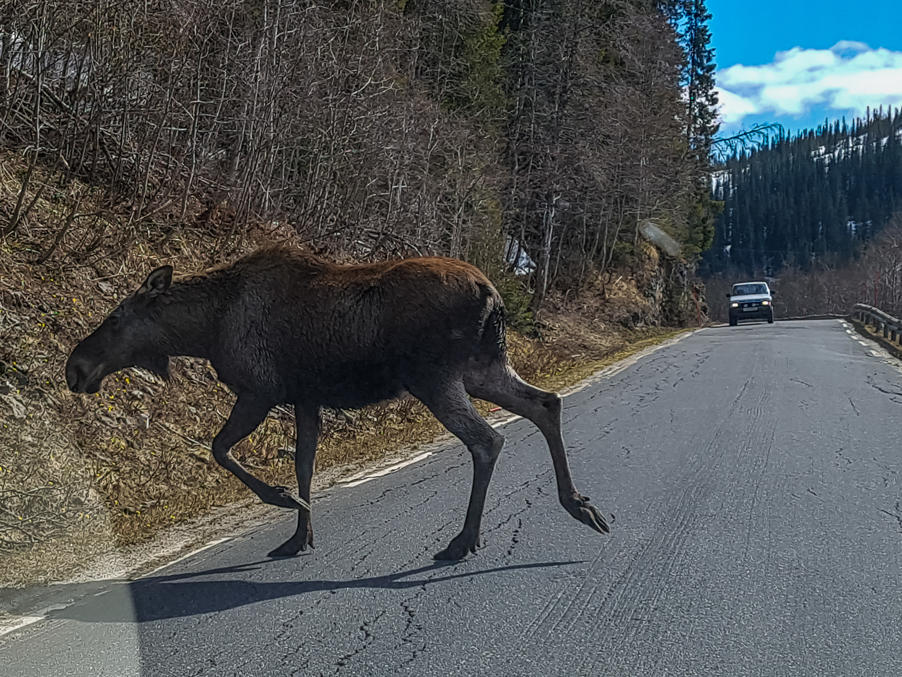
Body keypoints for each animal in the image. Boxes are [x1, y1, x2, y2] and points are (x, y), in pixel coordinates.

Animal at [67, 248, 612, 560]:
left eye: (115, 318)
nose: (75, 368)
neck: (205, 328)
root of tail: (493, 295)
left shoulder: (260, 390)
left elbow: (219, 449)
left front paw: (284, 500)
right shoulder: (306, 398)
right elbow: (305, 464)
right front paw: (299, 535)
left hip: (435, 377)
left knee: (488, 440)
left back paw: (463, 541)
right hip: (482, 369)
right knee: (545, 404)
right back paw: (579, 505)